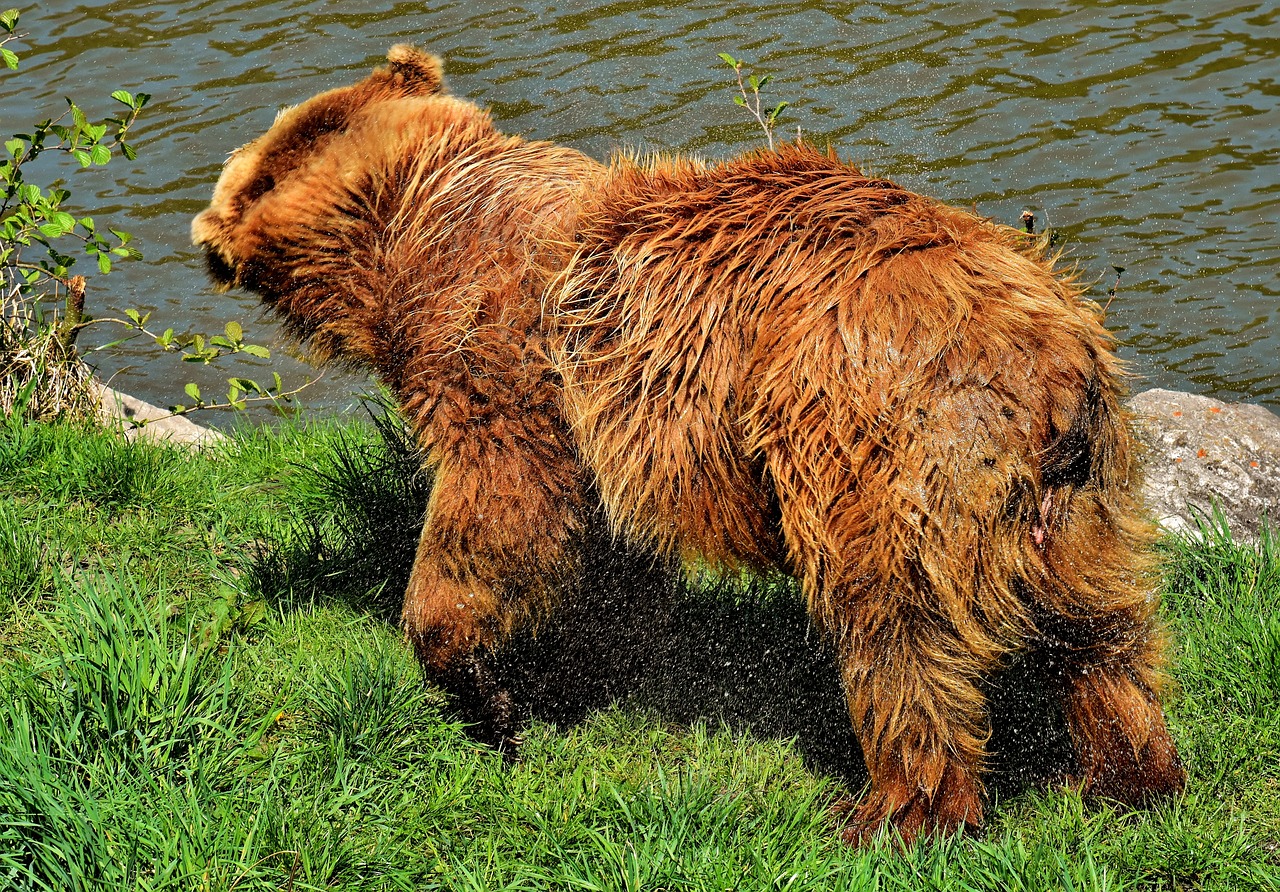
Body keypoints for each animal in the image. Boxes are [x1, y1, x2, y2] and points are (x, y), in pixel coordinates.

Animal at [194, 45, 1182, 844]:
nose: (203, 241)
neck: (407, 217)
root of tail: (1051, 361)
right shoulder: (603, 432)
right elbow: (605, 557)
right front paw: (584, 671)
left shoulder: (502, 361)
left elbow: (497, 510)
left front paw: (480, 692)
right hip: (1075, 498)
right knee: (1105, 632)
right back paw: (1130, 774)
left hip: (874, 440)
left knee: (894, 629)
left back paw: (894, 811)